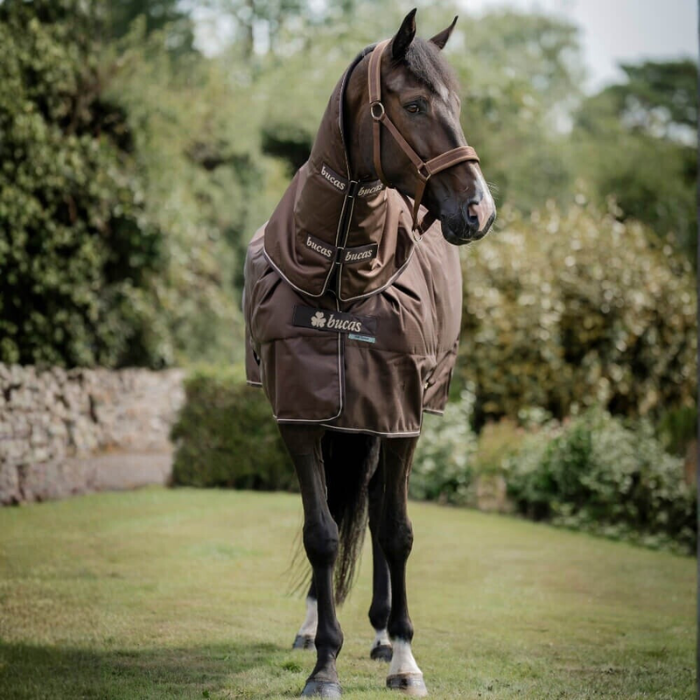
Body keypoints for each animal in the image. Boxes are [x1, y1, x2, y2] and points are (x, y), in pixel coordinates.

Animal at [243, 9, 496, 697]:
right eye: (413, 104)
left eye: (455, 104)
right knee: (343, 505)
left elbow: (396, 531)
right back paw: (314, 629)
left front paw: (406, 657)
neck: (339, 277)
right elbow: (322, 532)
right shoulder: (300, 415)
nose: (480, 210)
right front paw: (323, 662)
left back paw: (384, 635)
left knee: (380, 510)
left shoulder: (400, 416)